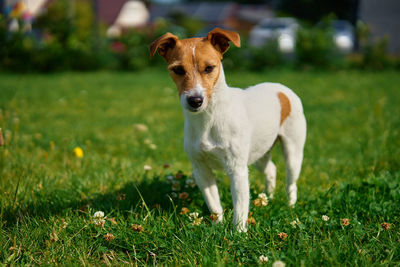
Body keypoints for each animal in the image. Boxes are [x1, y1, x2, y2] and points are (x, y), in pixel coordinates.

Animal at [150, 27, 306, 232]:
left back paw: (290, 205)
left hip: (293, 151)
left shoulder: (237, 169)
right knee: (271, 169)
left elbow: (240, 207)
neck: (208, 119)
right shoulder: (201, 170)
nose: (195, 100)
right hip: (259, 152)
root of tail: (280, 88)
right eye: (178, 69)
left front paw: (239, 233)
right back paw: (269, 198)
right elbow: (214, 204)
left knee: (291, 182)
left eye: (209, 68)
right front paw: (217, 226)